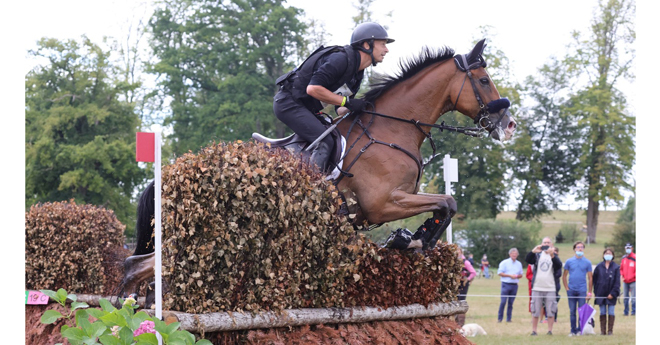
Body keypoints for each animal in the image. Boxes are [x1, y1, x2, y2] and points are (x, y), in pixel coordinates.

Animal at [121, 37, 520, 296]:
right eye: (484, 80)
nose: (509, 125)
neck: (391, 129)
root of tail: (170, 173)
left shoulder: (393, 201)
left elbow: (446, 205)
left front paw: (410, 240)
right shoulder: (382, 203)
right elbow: (446, 202)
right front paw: (410, 239)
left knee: (141, 270)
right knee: (136, 270)